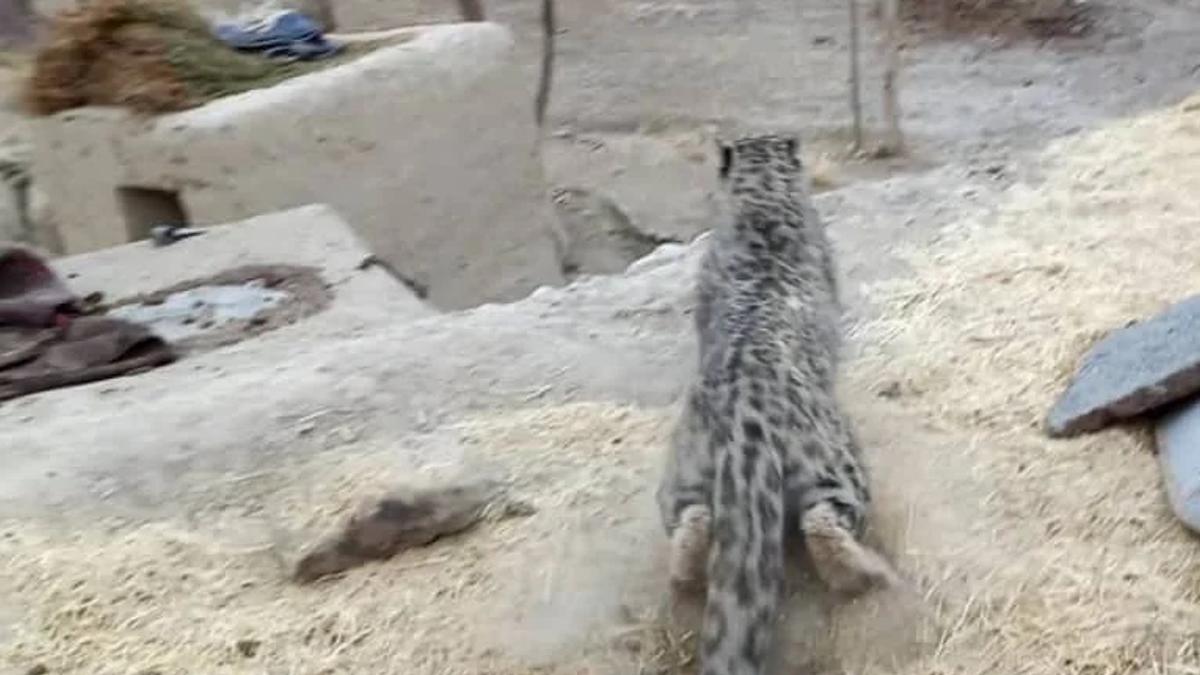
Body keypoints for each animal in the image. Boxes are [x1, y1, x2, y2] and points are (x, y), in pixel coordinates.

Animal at [655, 133, 898, 675]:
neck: (764, 197)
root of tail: (746, 416)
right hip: (837, 471)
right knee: (824, 523)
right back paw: (867, 576)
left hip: (683, 475)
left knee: (693, 520)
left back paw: (686, 576)